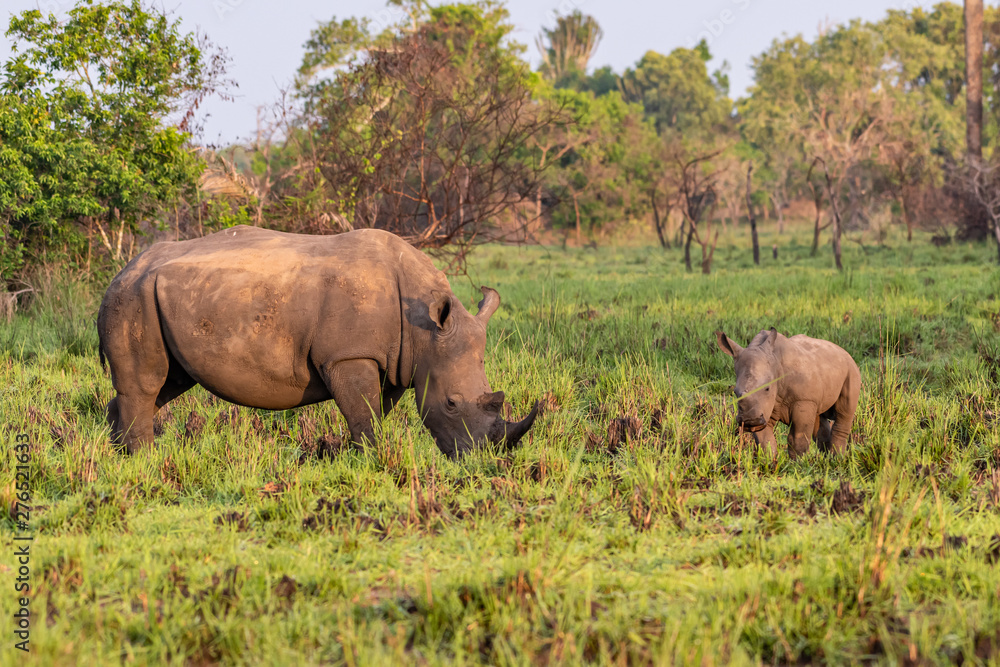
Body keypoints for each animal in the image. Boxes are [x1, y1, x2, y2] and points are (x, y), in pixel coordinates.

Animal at [98, 226, 540, 460]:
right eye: (450, 403)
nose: (482, 460)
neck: (425, 331)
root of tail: (124, 269)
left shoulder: (395, 361)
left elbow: (374, 409)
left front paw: (353, 455)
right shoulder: (349, 355)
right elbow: (364, 411)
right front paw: (371, 459)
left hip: (155, 296)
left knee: (168, 382)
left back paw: (119, 453)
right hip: (134, 296)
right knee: (149, 382)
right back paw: (146, 459)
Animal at [716, 328, 864, 460]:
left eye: (767, 389)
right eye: (735, 392)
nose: (750, 420)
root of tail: (842, 350)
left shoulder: (803, 400)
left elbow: (798, 437)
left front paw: (798, 464)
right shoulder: (764, 408)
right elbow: (764, 440)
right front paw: (770, 463)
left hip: (851, 369)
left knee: (844, 412)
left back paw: (837, 459)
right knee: (818, 417)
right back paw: (827, 458)